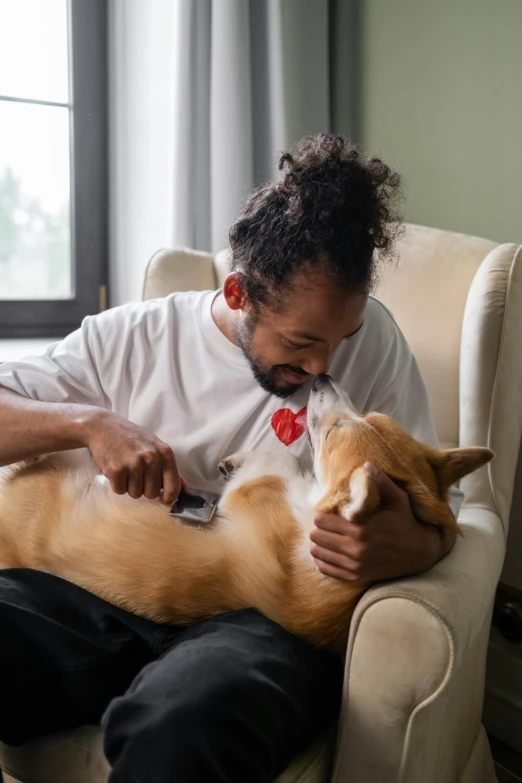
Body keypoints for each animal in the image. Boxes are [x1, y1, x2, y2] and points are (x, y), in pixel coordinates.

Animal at [0, 376, 490, 652]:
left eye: (332, 432)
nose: (323, 377)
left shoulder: (252, 495)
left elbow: (280, 460)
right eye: (366, 414)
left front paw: (236, 463)